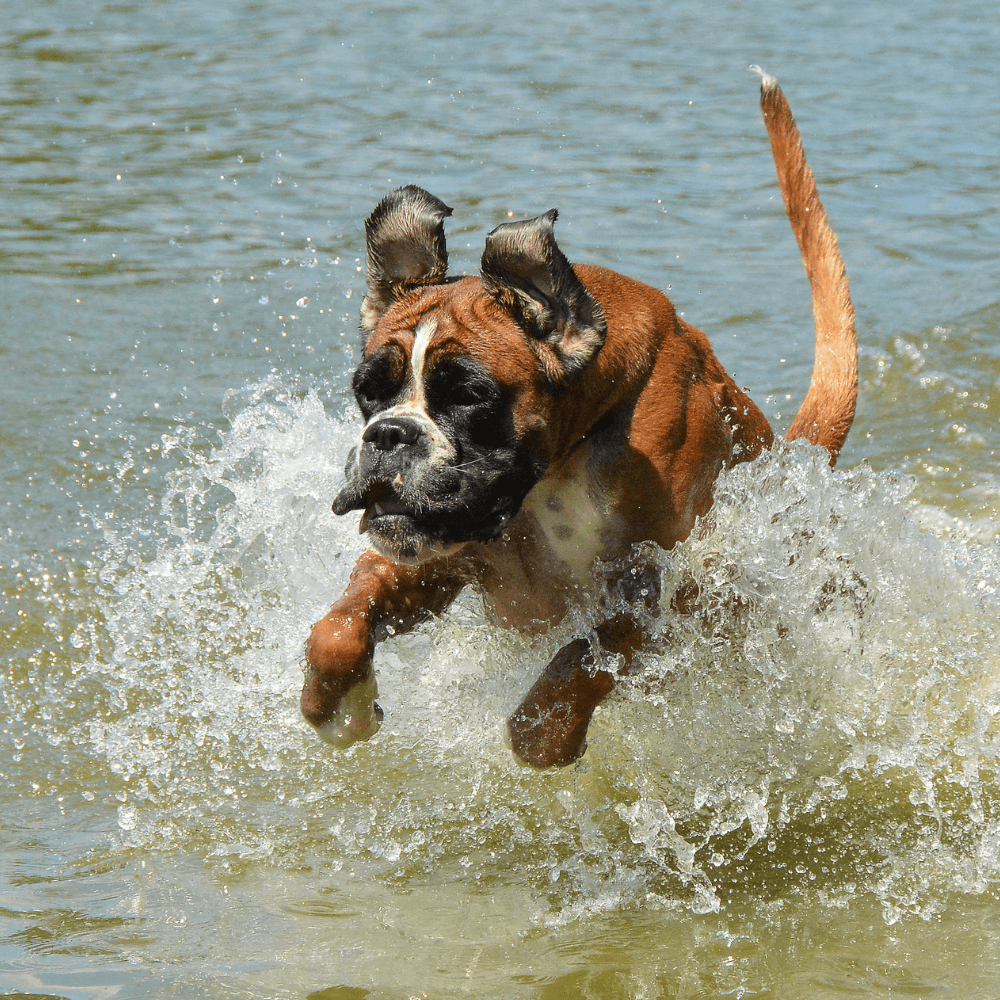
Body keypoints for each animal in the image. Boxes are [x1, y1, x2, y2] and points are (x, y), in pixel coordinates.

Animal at [298, 70, 860, 768]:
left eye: (471, 395)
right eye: (368, 391)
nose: (387, 436)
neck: (562, 459)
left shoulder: (675, 586)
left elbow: (587, 655)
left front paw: (547, 728)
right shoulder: (425, 557)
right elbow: (340, 624)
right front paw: (338, 707)